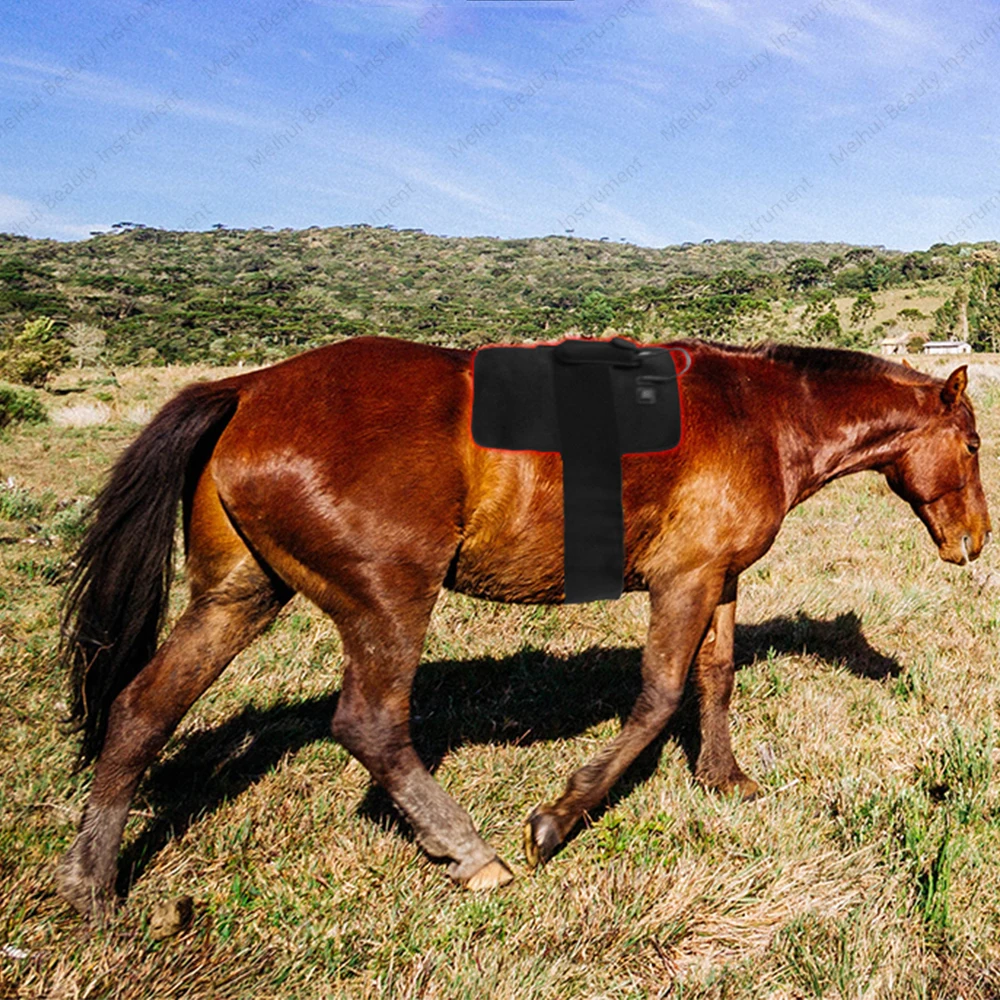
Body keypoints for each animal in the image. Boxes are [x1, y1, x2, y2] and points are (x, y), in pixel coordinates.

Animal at [55, 336, 990, 921]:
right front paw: (561, 816)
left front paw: (724, 779)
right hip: (387, 601)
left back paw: (91, 885)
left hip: (239, 597)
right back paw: (471, 853)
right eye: (976, 446)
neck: (757, 414)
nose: (975, 542)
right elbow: (658, 697)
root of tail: (248, 388)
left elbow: (715, 680)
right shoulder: (683, 581)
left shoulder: (718, 577)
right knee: (371, 726)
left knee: (142, 710)